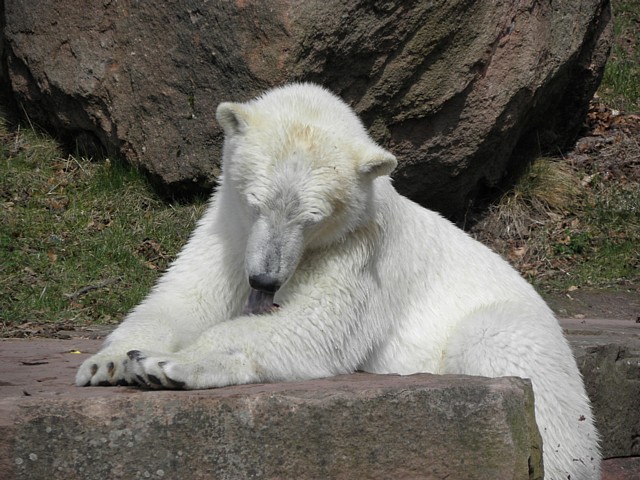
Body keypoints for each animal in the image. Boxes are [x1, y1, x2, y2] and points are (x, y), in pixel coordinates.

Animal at [76, 83, 601, 479]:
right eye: (255, 202)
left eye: (310, 219)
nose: (264, 278)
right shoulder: (226, 229)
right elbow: (185, 298)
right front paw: (106, 363)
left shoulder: (358, 250)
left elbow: (314, 325)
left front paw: (163, 364)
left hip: (523, 342)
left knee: (502, 355)